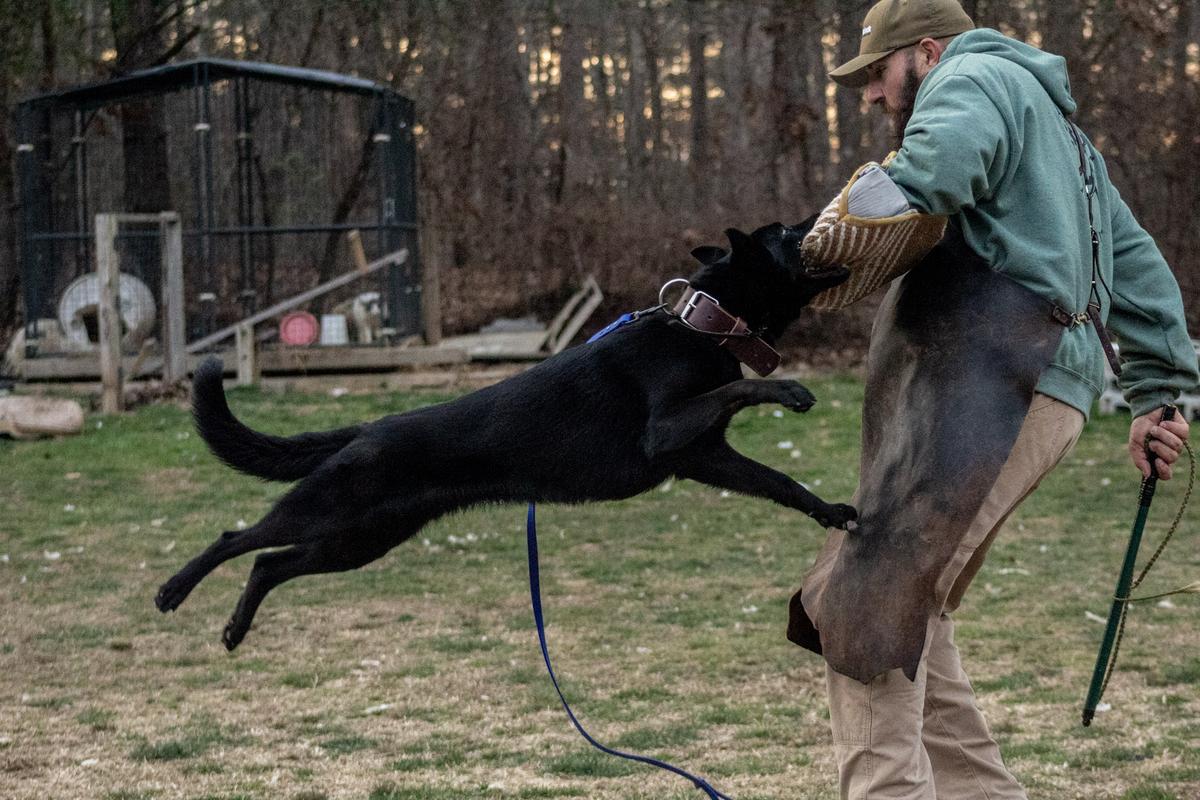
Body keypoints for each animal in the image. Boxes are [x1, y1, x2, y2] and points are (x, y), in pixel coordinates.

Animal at [154, 220, 859, 652]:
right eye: (788, 233)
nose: (816, 217)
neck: (702, 325)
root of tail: (370, 426)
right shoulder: (669, 433)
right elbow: (738, 391)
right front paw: (790, 390)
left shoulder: (707, 455)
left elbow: (781, 482)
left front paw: (831, 511)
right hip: (331, 509)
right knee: (239, 538)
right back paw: (172, 591)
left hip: (360, 540)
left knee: (270, 563)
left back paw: (234, 629)